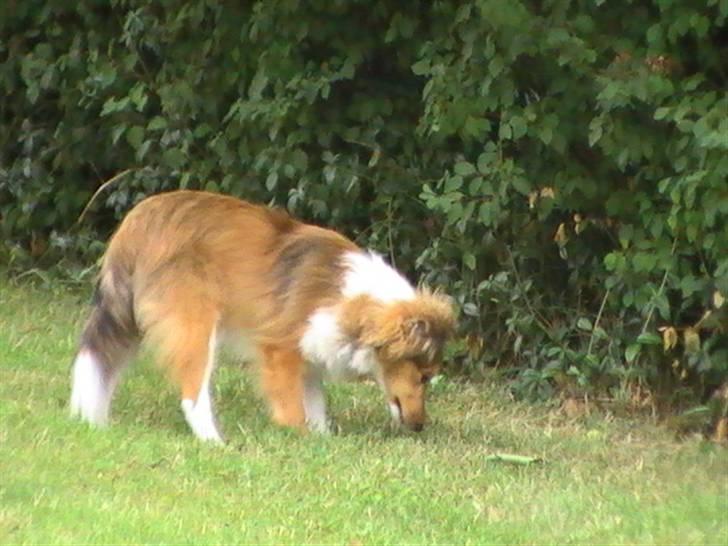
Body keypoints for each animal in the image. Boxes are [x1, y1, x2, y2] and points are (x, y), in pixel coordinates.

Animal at [69, 189, 456, 440]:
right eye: (424, 377)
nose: (420, 427)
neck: (355, 302)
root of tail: (137, 221)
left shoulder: (310, 356)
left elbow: (316, 405)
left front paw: (323, 440)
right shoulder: (280, 349)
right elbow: (294, 410)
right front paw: (299, 439)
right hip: (195, 324)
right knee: (192, 395)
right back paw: (214, 441)